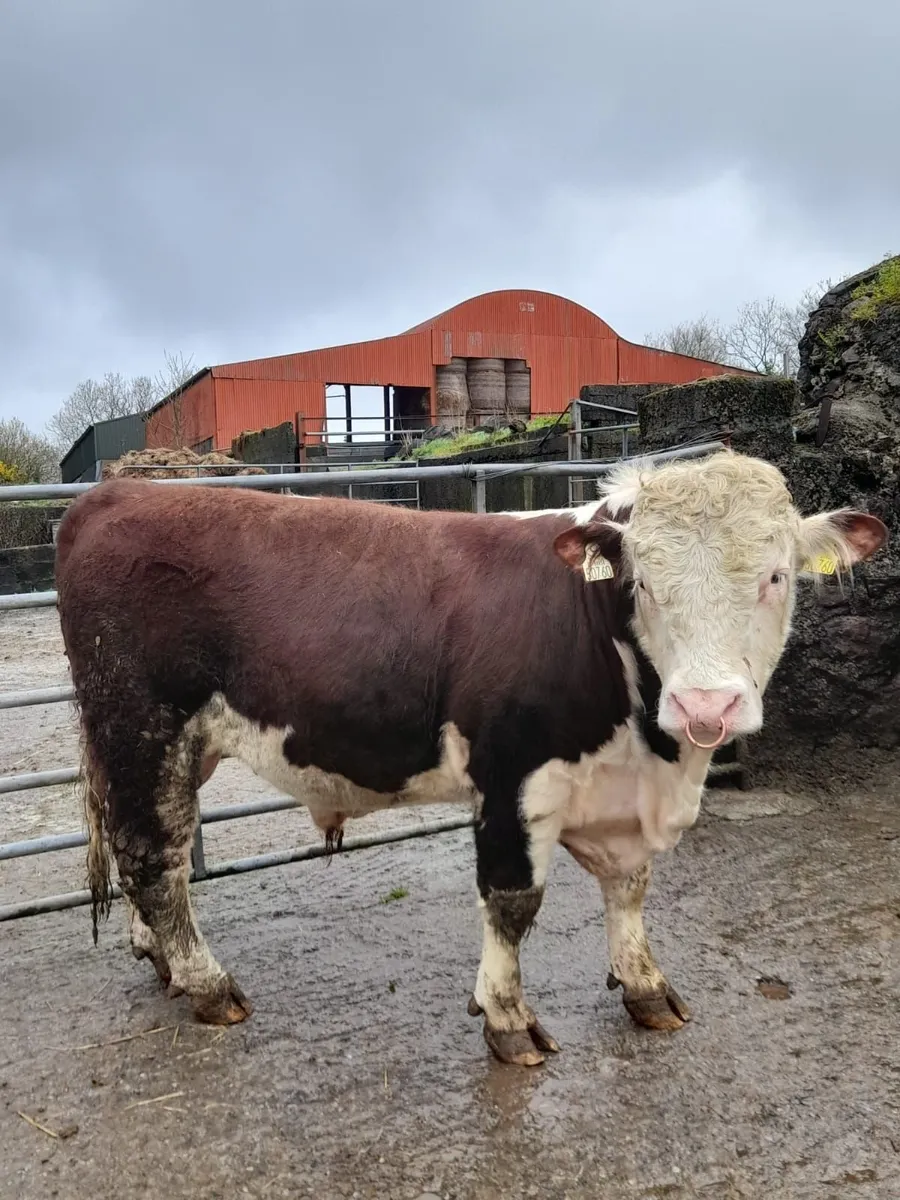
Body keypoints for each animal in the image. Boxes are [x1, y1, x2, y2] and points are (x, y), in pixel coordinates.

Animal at [54, 450, 886, 1066]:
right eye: (643, 582)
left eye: (774, 576)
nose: (705, 707)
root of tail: (115, 495)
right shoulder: (513, 774)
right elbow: (514, 904)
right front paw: (508, 1020)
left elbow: (631, 889)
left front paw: (646, 986)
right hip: (141, 725)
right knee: (153, 856)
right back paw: (206, 981)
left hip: (166, 746)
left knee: (141, 848)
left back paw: (160, 956)